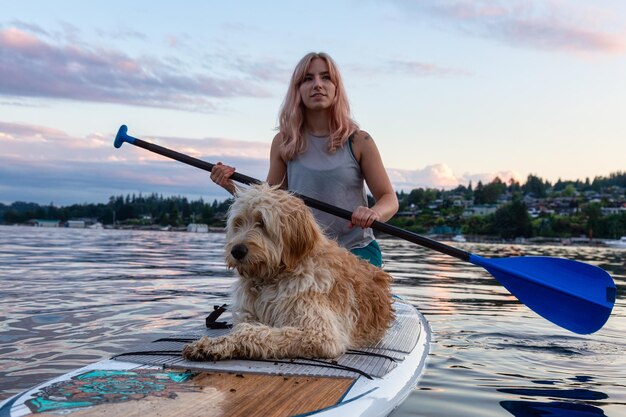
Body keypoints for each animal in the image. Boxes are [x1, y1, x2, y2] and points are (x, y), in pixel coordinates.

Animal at [180, 183, 392, 360]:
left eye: (262, 222)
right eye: (238, 223)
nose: (237, 251)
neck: (274, 276)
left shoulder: (319, 332)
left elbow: (257, 333)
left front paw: (214, 345)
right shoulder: (249, 314)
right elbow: (245, 327)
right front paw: (212, 344)